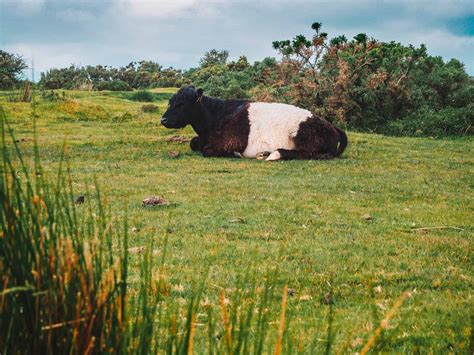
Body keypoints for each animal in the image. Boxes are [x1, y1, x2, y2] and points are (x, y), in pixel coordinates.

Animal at [161, 85, 346, 161]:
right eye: (170, 101)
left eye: (182, 103)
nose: (163, 120)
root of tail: (331, 126)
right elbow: (193, 143)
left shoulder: (230, 142)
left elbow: (207, 151)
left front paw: (235, 154)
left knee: (309, 154)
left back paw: (274, 155)